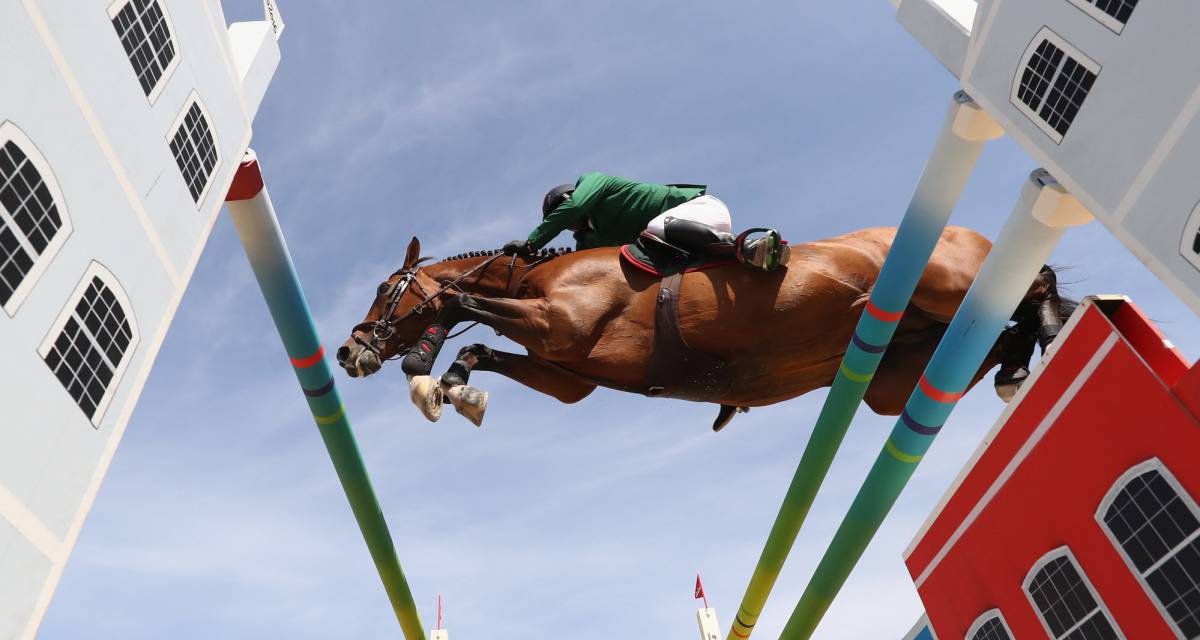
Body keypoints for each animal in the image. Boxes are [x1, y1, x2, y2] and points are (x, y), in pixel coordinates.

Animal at [335, 227, 1069, 428]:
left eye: (387, 290)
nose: (348, 351)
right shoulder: (566, 372)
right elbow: (487, 351)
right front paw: (454, 388)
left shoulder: (563, 325)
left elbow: (462, 306)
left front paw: (422, 373)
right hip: (899, 375)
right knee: (990, 343)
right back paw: (1018, 366)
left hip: (954, 284)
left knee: (1032, 287)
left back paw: (1043, 334)